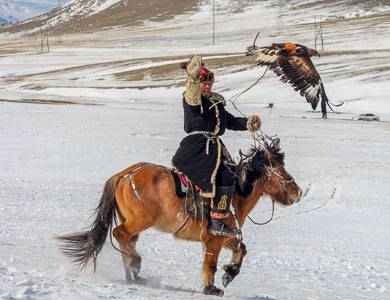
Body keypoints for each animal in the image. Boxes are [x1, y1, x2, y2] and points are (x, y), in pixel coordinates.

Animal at [58, 142, 302, 296]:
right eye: (282, 171)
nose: (298, 191)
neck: (237, 193)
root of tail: (123, 175)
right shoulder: (214, 238)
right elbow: (211, 264)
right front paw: (212, 288)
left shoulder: (225, 236)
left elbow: (241, 249)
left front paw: (230, 274)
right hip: (140, 221)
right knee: (120, 234)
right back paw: (135, 265)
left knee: (126, 240)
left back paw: (133, 275)